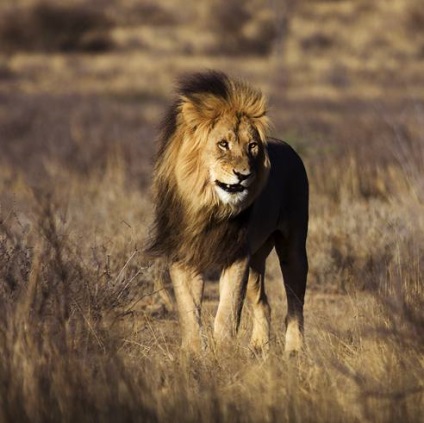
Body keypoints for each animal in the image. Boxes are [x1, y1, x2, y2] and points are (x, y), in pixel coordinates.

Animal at [146, 71, 308, 356]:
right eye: (223, 144)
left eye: (252, 146)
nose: (244, 175)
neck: (208, 208)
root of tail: (290, 149)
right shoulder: (183, 256)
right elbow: (188, 309)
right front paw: (193, 352)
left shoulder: (236, 256)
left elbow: (227, 311)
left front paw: (223, 352)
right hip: (256, 259)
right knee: (263, 302)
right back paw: (259, 347)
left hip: (293, 247)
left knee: (295, 302)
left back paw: (294, 350)